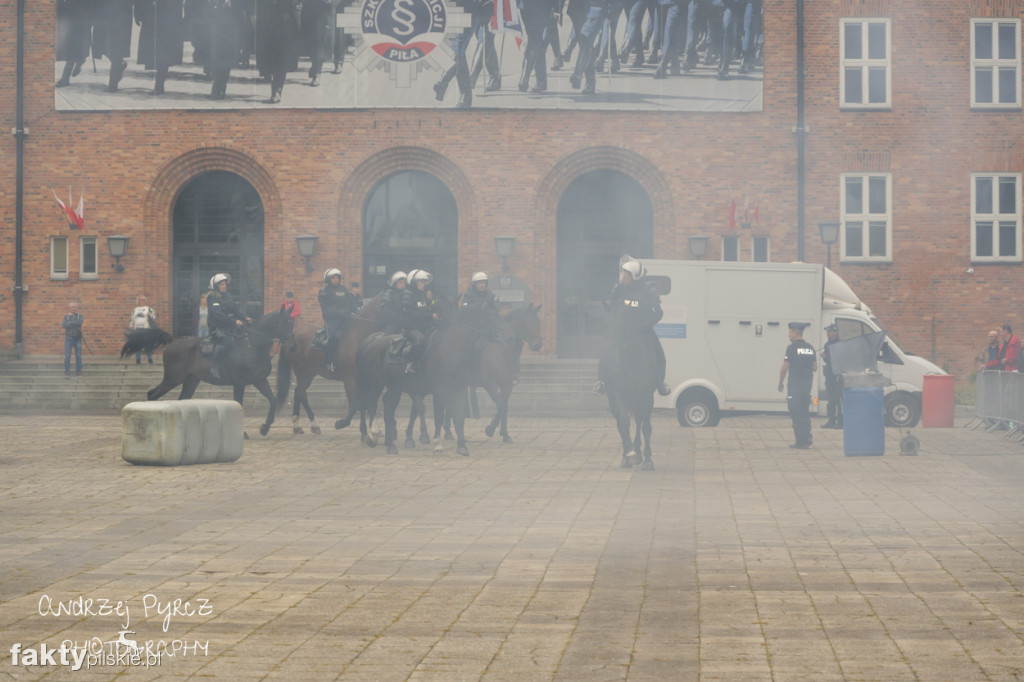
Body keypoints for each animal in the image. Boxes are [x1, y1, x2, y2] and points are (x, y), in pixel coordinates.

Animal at [121, 307, 296, 436]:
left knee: (181, 400)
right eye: (283, 323)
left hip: (190, 381)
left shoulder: (259, 380)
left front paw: (265, 427)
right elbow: (239, 404)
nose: (292, 344)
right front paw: (243, 433)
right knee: (152, 394)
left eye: (292, 323)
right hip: (172, 379)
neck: (252, 345)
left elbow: (273, 401)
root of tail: (173, 341)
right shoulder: (240, 383)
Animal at [274, 290, 382, 430]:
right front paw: (343, 423)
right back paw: (314, 424)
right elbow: (355, 403)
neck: (359, 335)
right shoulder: (350, 377)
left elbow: (368, 403)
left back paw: (297, 425)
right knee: (301, 393)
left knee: (298, 393)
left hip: (309, 372)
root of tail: (291, 337)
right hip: (304, 372)